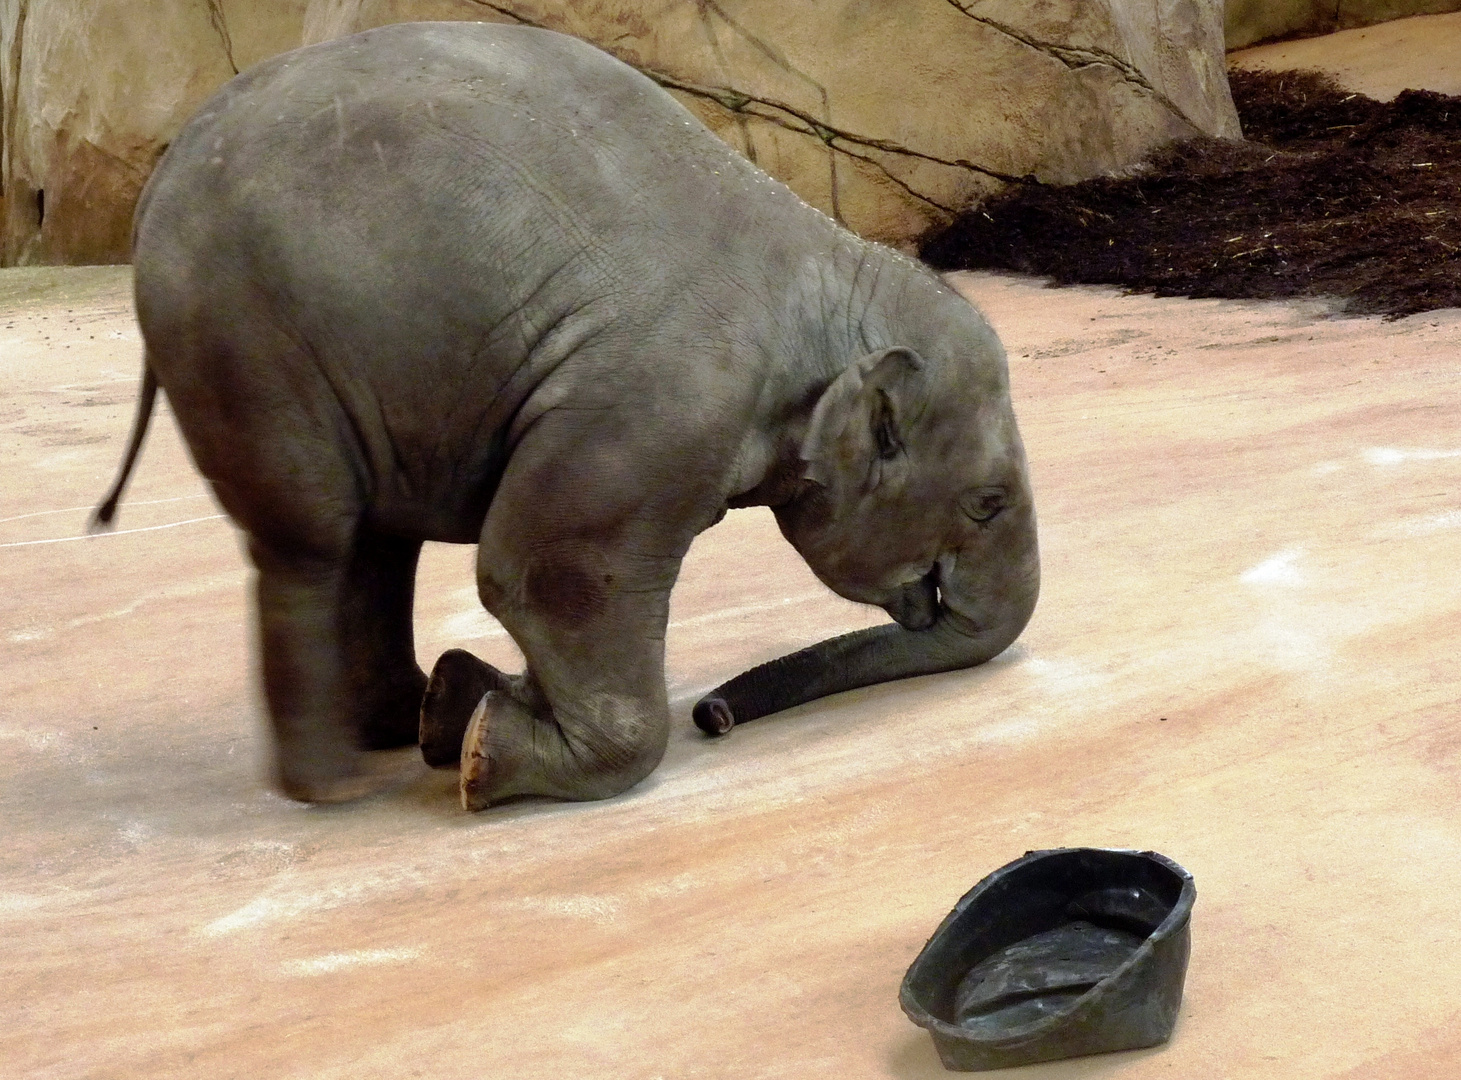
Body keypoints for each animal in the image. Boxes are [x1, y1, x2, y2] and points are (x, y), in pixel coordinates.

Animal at [97, 21, 1040, 806]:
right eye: (986, 502)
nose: (715, 714)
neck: (827, 263)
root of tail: (157, 184)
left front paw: (466, 706)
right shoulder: (659, 411)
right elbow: (544, 571)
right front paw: (486, 755)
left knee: (375, 542)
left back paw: (402, 722)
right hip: (249, 342)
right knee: (313, 542)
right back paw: (333, 788)